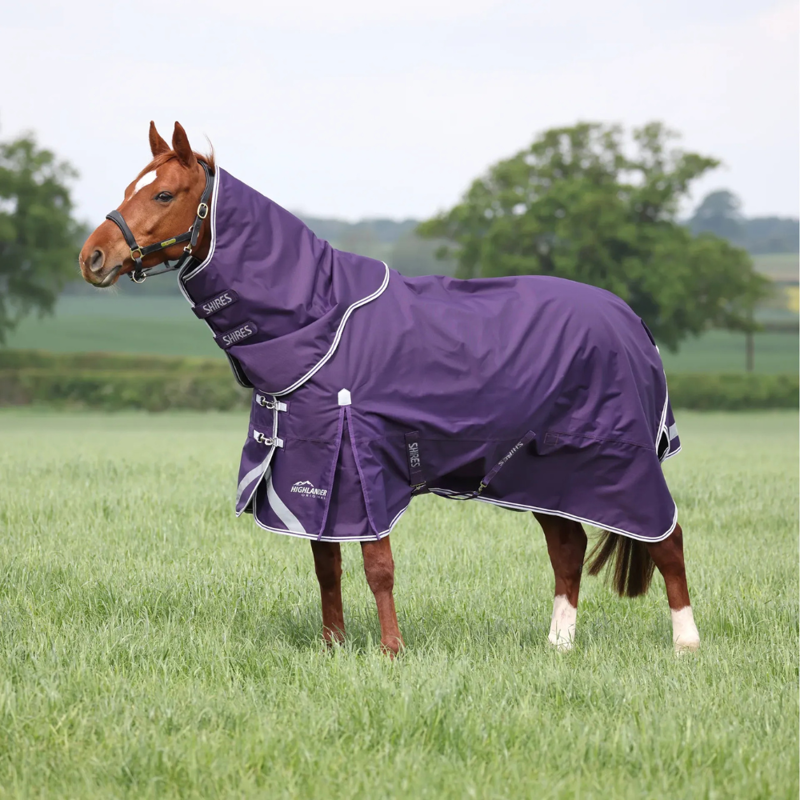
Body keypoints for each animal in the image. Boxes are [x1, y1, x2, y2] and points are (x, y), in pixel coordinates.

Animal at [79, 121, 701, 656]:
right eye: (131, 187)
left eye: (164, 195)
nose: (93, 257)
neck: (320, 317)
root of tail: (632, 321)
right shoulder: (312, 467)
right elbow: (326, 567)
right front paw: (333, 645)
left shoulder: (360, 463)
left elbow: (378, 566)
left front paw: (391, 651)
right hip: (544, 472)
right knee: (568, 548)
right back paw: (559, 645)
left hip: (617, 461)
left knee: (667, 538)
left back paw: (686, 644)